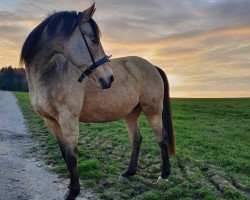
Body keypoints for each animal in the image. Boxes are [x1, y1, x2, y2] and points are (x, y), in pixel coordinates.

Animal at [20, 3, 176, 200]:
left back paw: (164, 174)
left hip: (153, 110)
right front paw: (71, 189)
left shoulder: (68, 120)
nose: (109, 78)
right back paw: (129, 173)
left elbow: (72, 156)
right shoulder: (51, 122)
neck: (51, 74)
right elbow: (64, 154)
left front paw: (73, 192)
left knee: (161, 138)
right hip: (131, 113)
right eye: (94, 40)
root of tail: (152, 66)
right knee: (137, 139)